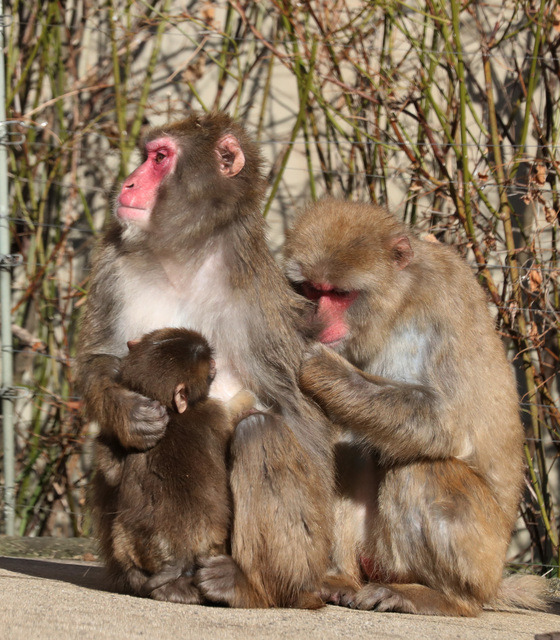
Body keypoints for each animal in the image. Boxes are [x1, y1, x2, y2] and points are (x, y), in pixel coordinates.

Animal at [90, 328, 254, 604]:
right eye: (207, 367)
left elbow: (112, 473)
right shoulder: (214, 413)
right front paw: (246, 397)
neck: (171, 410)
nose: (214, 360)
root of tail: (178, 554)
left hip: (130, 541)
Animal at [282, 199, 544, 616]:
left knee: (421, 468)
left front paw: (317, 366)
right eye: (311, 289)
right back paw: (340, 577)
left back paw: (444, 598)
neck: (396, 302)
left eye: (338, 294)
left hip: (480, 558)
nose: (316, 318)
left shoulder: (439, 305)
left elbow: (444, 422)